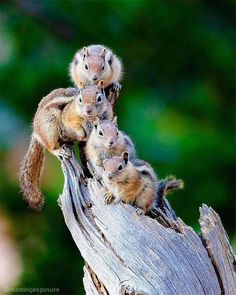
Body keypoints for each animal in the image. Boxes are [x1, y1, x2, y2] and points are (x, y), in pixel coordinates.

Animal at [19, 81, 113, 210]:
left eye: (99, 98)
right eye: (80, 99)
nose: (88, 110)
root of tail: (36, 133)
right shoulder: (69, 116)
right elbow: (74, 125)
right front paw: (83, 136)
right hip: (49, 125)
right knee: (50, 146)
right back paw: (59, 151)